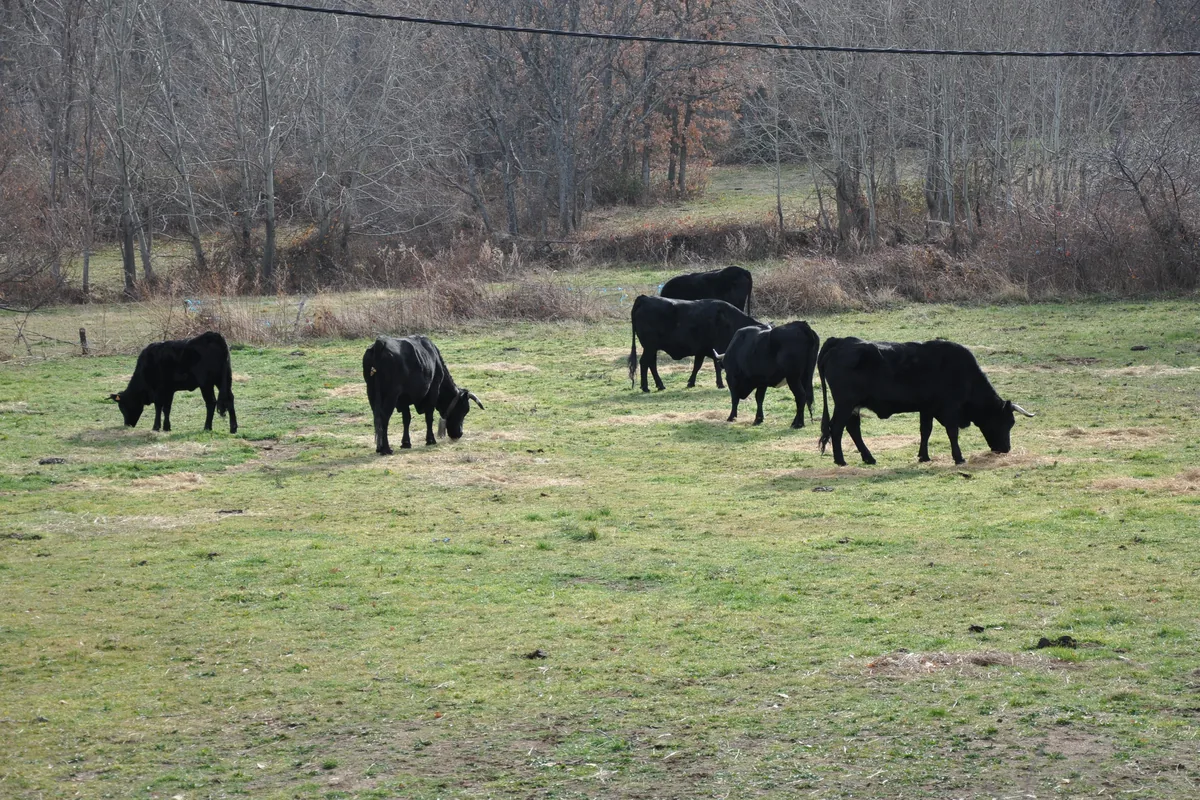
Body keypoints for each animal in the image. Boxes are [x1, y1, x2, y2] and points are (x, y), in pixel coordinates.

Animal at [628, 295, 765, 392]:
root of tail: (644, 298)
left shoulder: (703, 350)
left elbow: (698, 366)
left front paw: (691, 382)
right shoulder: (716, 348)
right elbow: (715, 365)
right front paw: (720, 384)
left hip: (652, 348)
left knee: (651, 364)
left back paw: (659, 385)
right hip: (650, 347)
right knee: (644, 362)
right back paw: (646, 387)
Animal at [816, 337, 1034, 466]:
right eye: (1008, 422)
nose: (1006, 449)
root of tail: (840, 341)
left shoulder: (927, 408)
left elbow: (925, 431)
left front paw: (924, 456)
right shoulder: (950, 408)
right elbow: (952, 432)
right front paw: (959, 457)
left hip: (853, 406)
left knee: (853, 428)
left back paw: (869, 458)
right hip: (845, 404)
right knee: (837, 429)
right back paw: (840, 460)